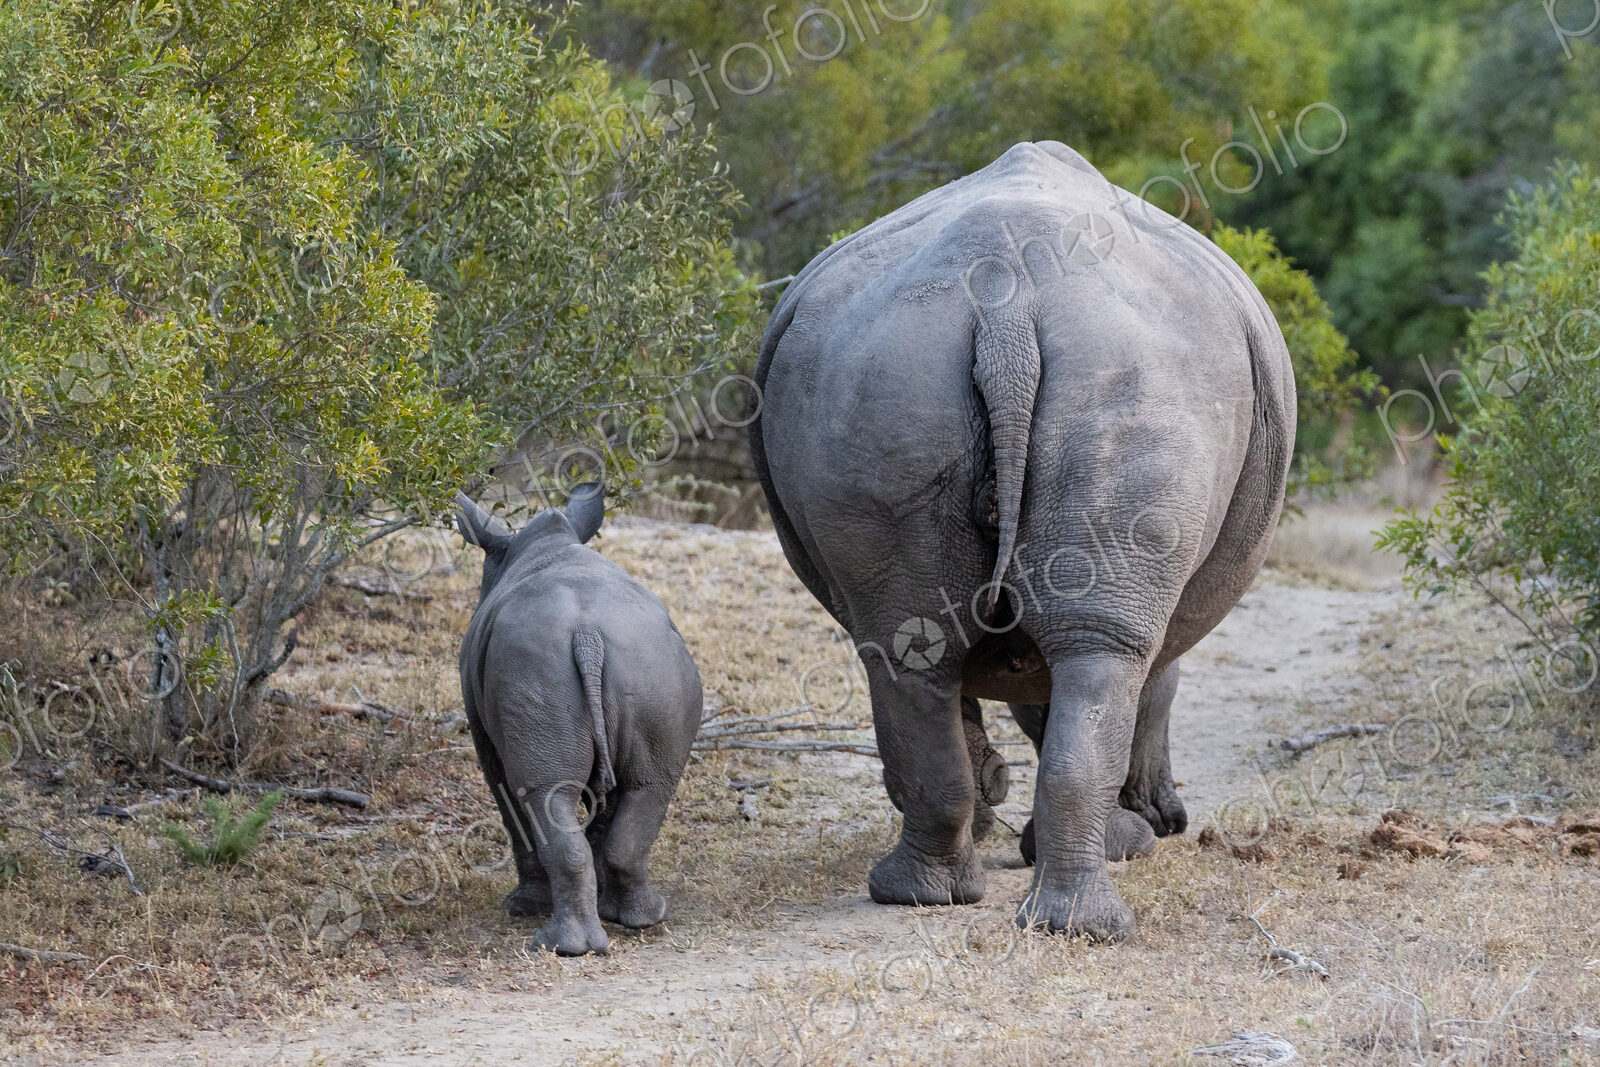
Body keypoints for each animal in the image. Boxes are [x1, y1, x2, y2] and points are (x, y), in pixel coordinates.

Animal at [455, 485, 702, 955]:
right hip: (652, 663)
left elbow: (509, 801)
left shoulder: (482, 729)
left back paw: (559, 945)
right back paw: (642, 918)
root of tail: (588, 635)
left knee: (543, 795)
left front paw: (523, 907)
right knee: (651, 784)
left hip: (537, 667)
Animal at [750, 141, 1295, 940]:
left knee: (915, 650)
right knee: (1104, 656)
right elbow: (1132, 686)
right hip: (1137, 379)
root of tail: (1006, 302)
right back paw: (1085, 915)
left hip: (883, 377)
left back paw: (934, 896)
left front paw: (994, 811)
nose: (1176, 818)